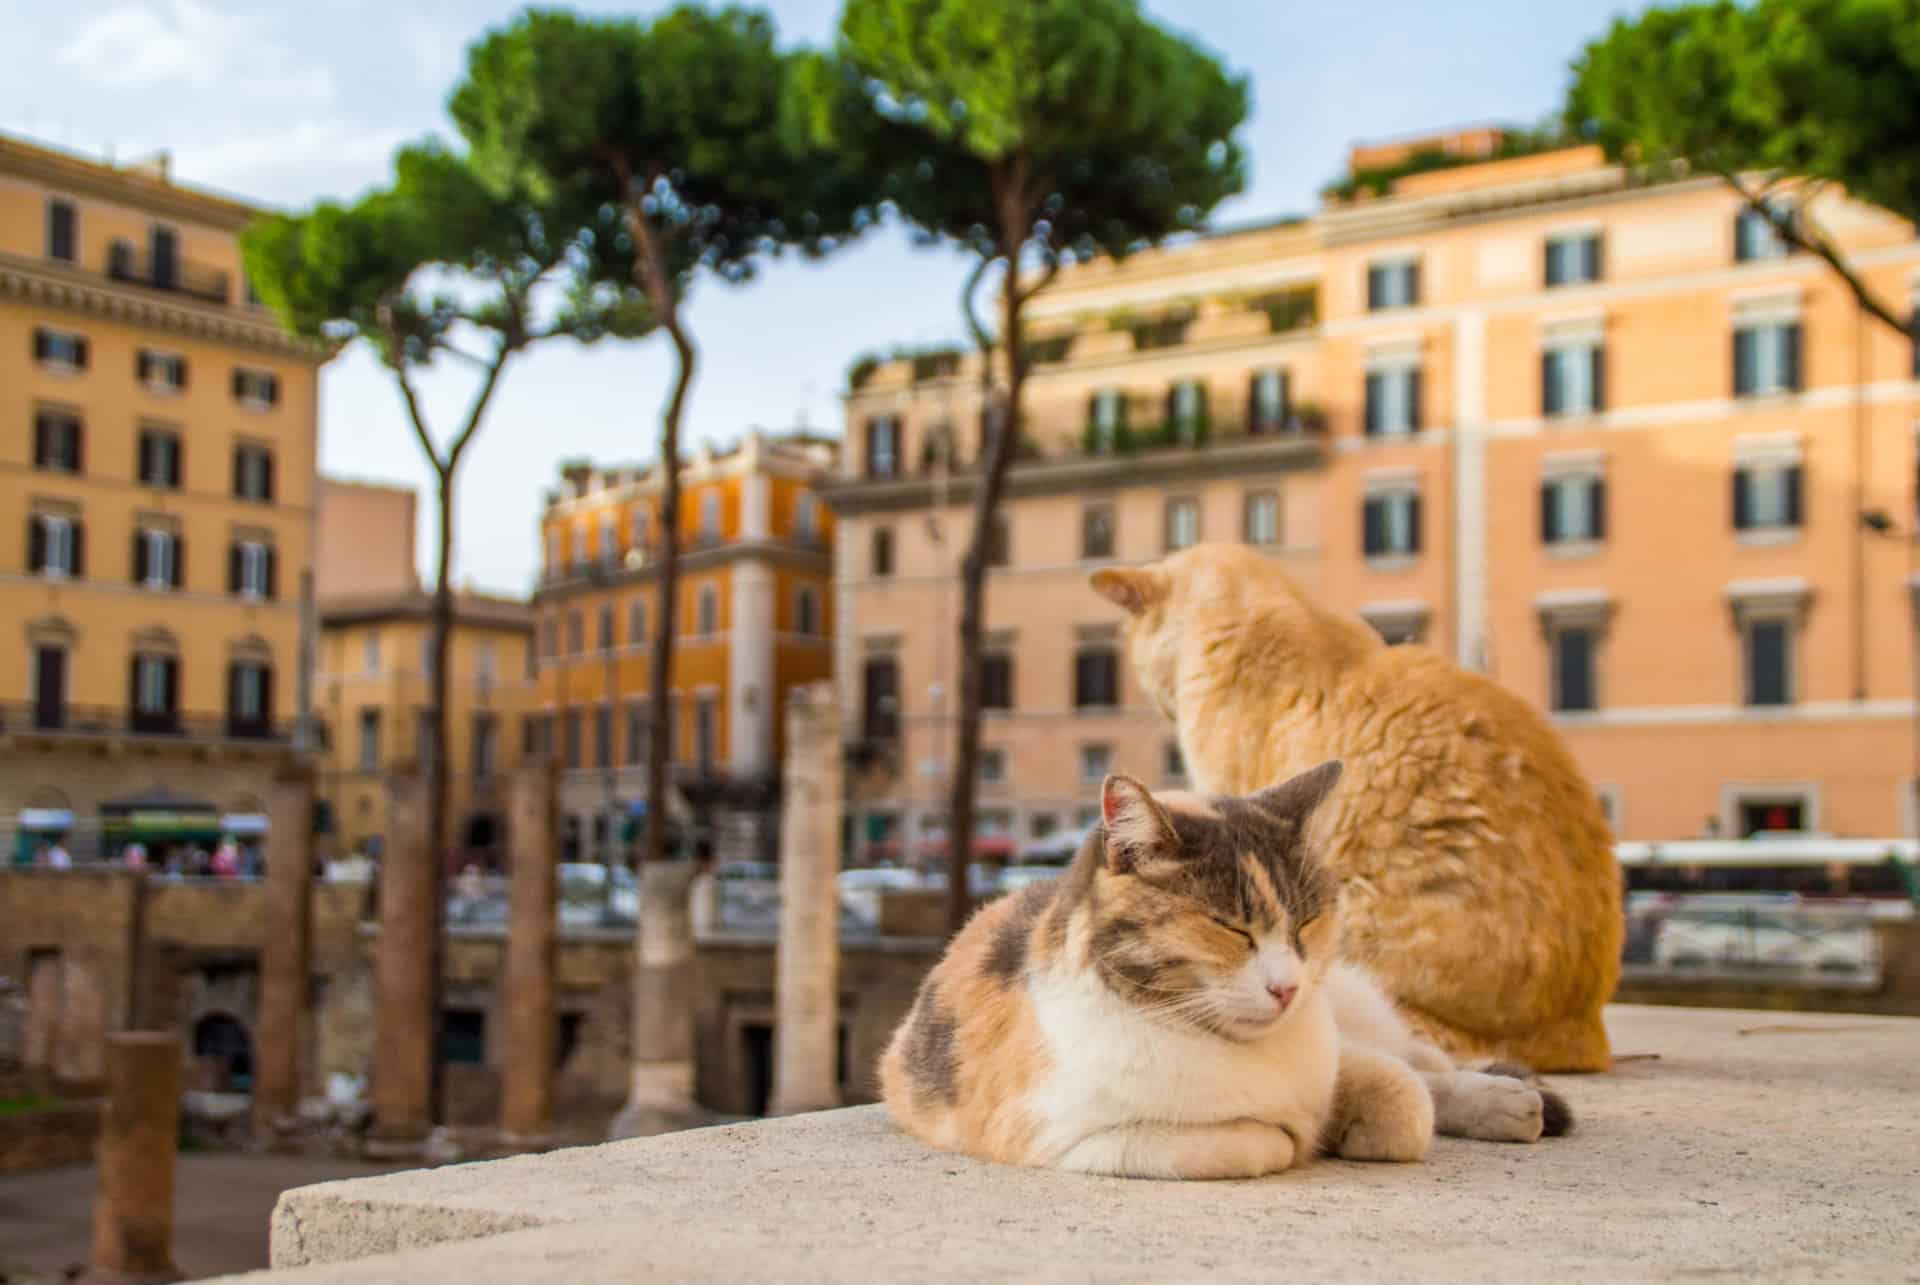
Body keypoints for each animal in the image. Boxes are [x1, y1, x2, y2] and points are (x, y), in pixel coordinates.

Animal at [879, 760, 1566, 1175]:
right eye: (1231, 928)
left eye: (1306, 923)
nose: (1287, 987)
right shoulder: (1081, 1140)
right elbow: (1258, 1139)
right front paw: (1311, 1135)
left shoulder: (1336, 1050)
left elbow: (1404, 1097)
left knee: (1423, 1060)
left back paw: (1512, 1099)